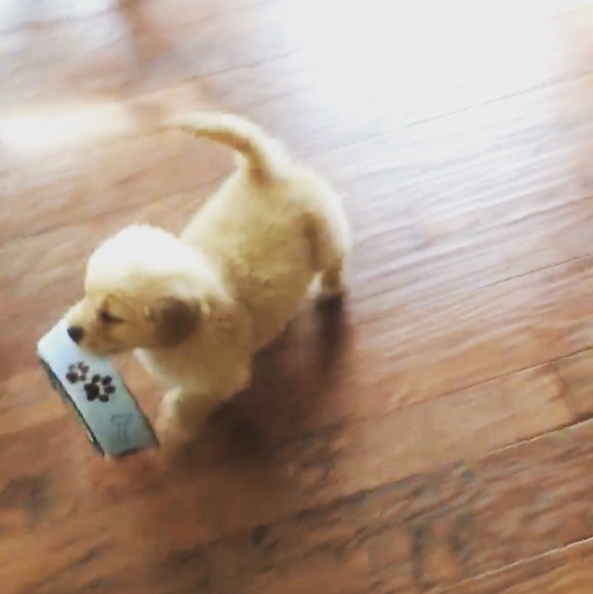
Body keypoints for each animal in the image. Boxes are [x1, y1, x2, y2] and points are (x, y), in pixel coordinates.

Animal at [66, 112, 351, 444]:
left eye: (111, 317)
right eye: (86, 293)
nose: (71, 332)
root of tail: (263, 171)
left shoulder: (222, 377)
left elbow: (190, 401)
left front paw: (172, 422)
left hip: (325, 236)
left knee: (335, 261)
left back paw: (331, 289)